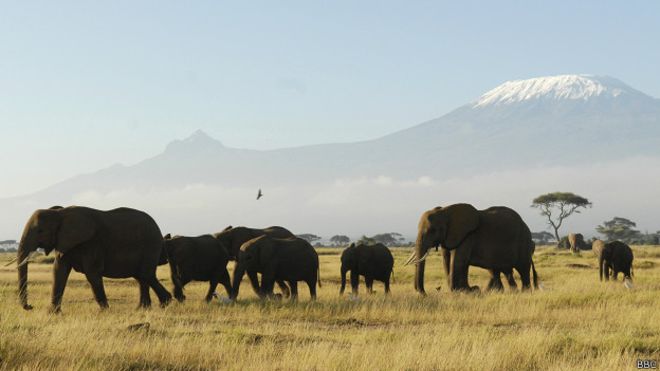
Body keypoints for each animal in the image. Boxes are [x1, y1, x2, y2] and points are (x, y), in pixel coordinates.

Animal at [15, 206, 171, 314]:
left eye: (40, 231)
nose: (30, 306)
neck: (60, 213)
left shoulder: (91, 244)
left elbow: (92, 273)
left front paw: (105, 311)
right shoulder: (65, 243)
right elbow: (59, 271)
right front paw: (53, 313)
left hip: (150, 246)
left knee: (145, 274)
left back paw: (165, 303)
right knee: (142, 277)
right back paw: (143, 309)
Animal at [408, 205, 540, 294]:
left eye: (433, 230)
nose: (425, 294)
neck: (446, 210)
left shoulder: (468, 236)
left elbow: (458, 262)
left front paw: (467, 291)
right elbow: (447, 261)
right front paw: (468, 290)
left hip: (524, 244)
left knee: (523, 269)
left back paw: (524, 292)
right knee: (498, 270)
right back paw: (501, 291)